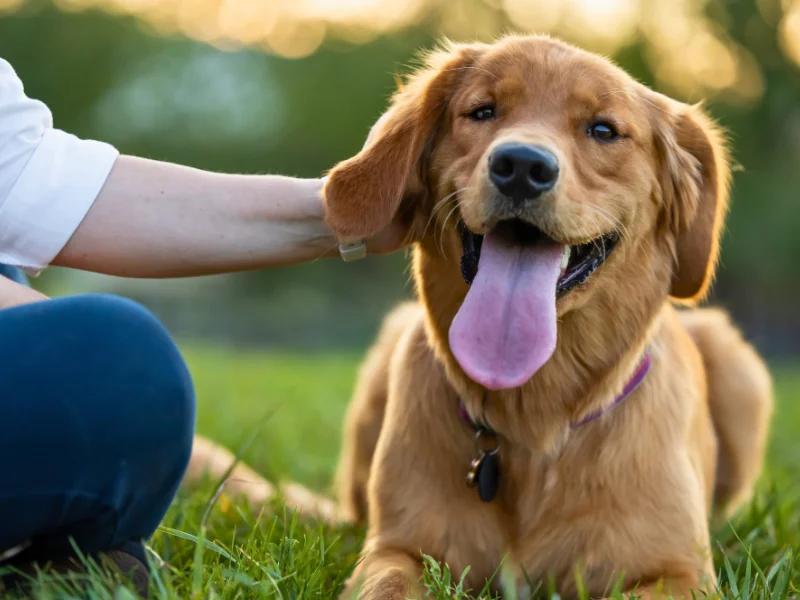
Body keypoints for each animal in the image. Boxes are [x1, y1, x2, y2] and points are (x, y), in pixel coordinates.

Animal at [184, 37, 772, 600]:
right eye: (483, 111)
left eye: (604, 130)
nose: (523, 167)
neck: (533, 419)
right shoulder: (396, 548)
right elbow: (387, 584)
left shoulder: (679, 572)